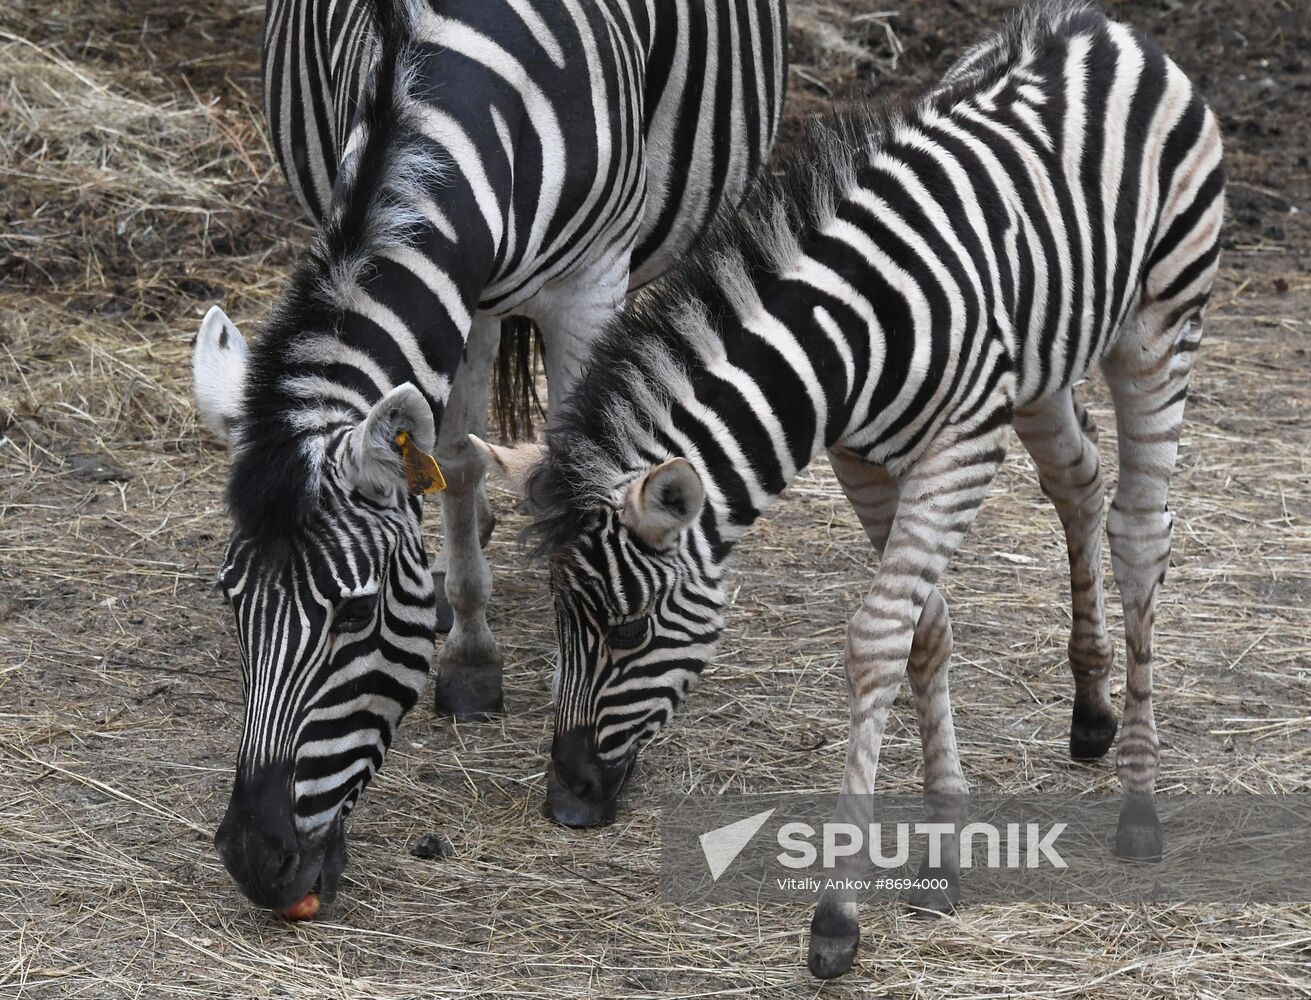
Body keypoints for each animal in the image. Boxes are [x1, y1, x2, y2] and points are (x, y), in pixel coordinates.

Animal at [195, 0, 786, 917]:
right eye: (232, 601)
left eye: (355, 616)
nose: (255, 862)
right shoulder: (458, 281)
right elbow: (456, 460)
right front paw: (470, 651)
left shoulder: (589, 283)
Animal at [485, 1, 1227, 980]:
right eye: (560, 623)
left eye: (629, 630)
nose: (565, 804)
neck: (850, 341)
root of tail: (1100, 27)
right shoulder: (864, 461)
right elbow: (925, 633)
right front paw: (943, 849)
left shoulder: (958, 447)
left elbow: (879, 639)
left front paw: (836, 915)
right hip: (1042, 362)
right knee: (1079, 481)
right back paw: (1091, 713)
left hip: (1157, 327)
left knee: (1140, 533)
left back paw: (1139, 805)